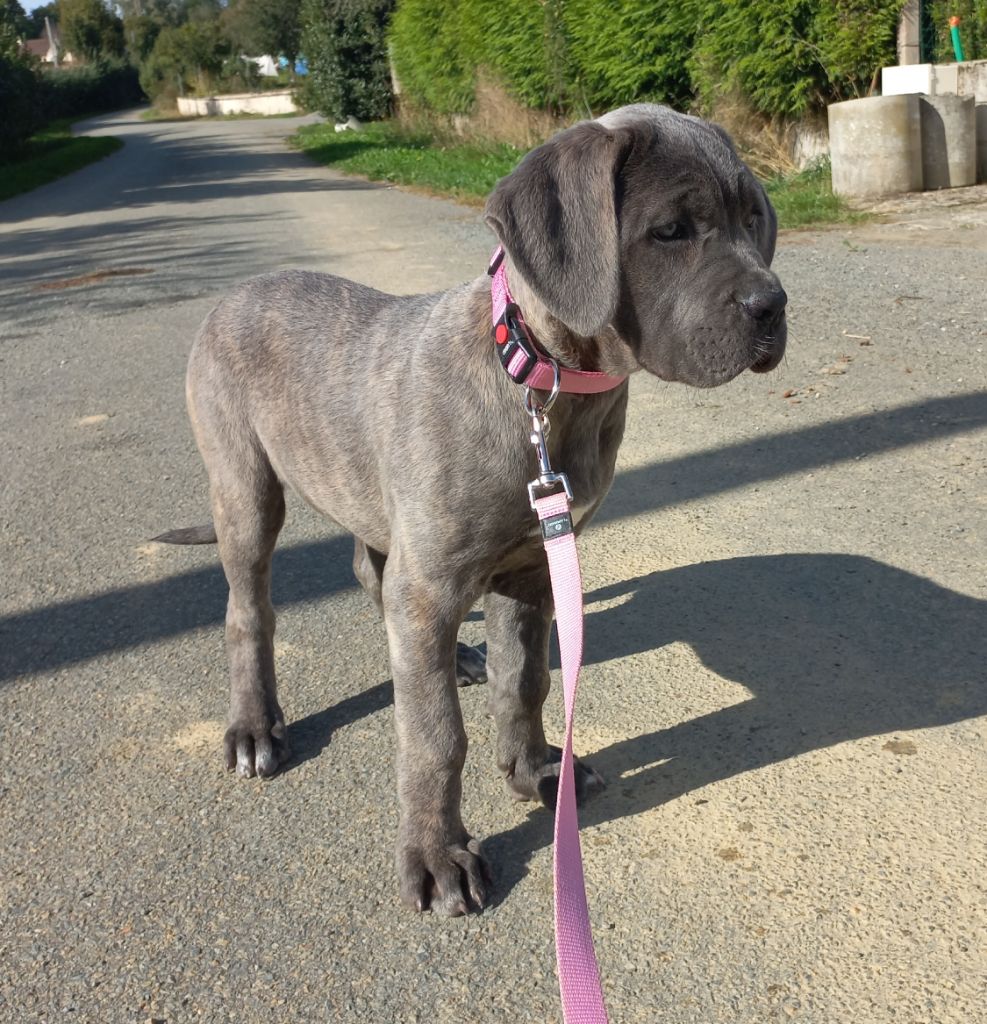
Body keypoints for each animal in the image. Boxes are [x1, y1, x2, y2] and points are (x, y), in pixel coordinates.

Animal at [157, 103, 787, 917]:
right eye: (671, 230)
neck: (539, 383)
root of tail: (236, 292)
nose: (772, 306)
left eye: (752, 217)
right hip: (245, 490)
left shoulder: (530, 570)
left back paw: (453, 656)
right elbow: (434, 737)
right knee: (249, 612)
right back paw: (254, 727)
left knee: (369, 567)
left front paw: (535, 769)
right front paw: (437, 854)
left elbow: (525, 682)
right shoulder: (432, 587)